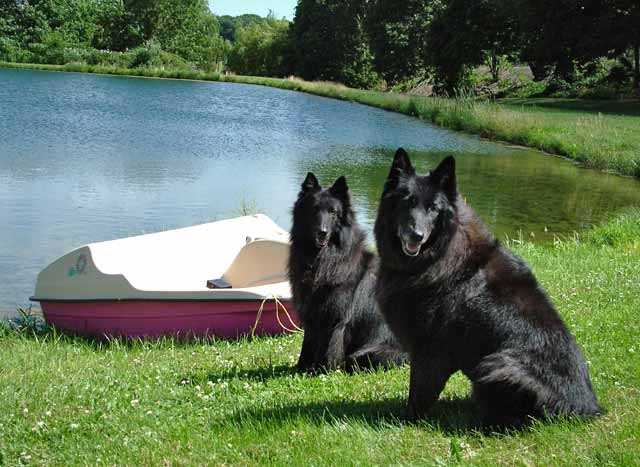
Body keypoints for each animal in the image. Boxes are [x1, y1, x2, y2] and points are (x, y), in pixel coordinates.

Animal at [288, 174, 404, 374]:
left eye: (333, 213)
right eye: (314, 209)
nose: (322, 232)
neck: (322, 259)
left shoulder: (336, 319)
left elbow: (328, 348)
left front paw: (321, 370)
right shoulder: (311, 316)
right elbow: (307, 345)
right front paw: (301, 368)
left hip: (369, 353)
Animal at [372, 149, 604, 428]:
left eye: (434, 208)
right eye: (407, 202)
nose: (416, 235)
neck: (437, 255)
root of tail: (587, 409)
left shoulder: (429, 352)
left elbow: (418, 395)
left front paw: (403, 421)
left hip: (497, 366)